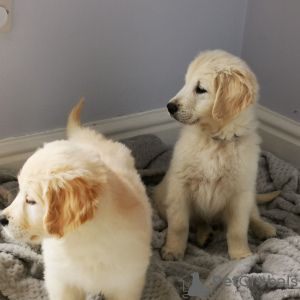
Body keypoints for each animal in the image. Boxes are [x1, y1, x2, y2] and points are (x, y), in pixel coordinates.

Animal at [1, 99, 152, 300]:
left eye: (31, 201)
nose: (2, 219)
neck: (81, 240)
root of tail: (87, 136)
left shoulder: (127, 283)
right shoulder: (61, 280)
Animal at [154, 49, 278, 260]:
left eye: (200, 89)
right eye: (185, 83)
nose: (170, 107)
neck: (216, 141)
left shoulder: (240, 193)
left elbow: (238, 229)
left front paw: (241, 256)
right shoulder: (179, 187)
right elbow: (179, 225)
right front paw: (173, 250)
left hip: (249, 194)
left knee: (254, 214)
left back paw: (265, 228)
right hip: (162, 199)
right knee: (199, 223)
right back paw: (205, 235)